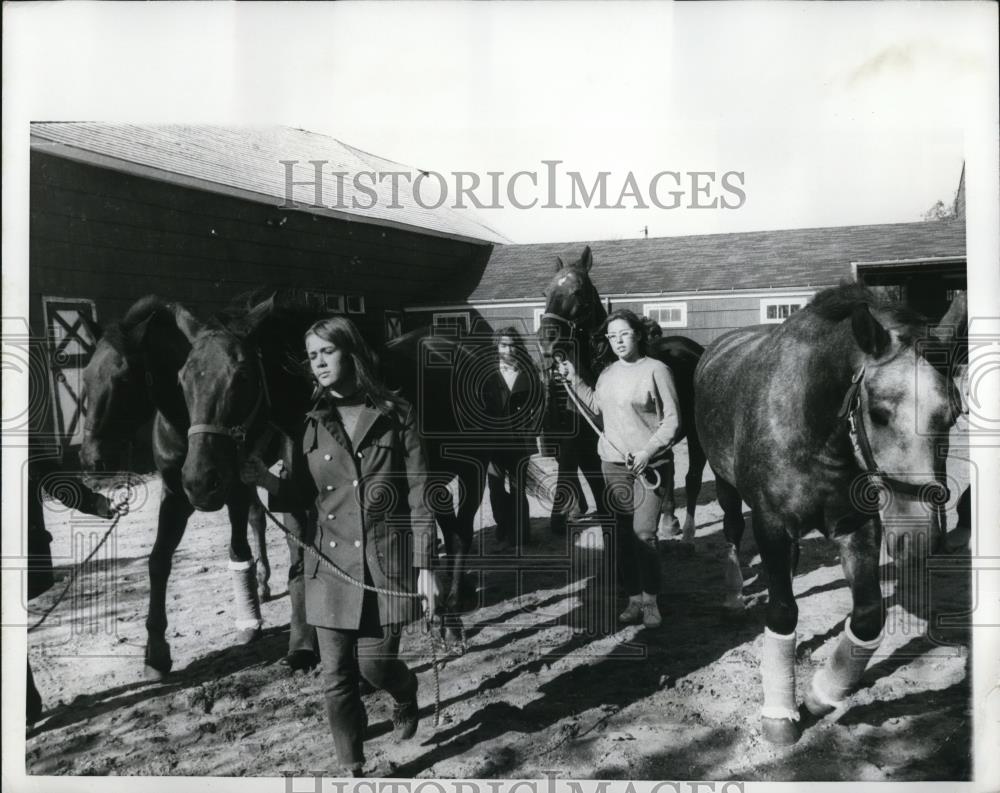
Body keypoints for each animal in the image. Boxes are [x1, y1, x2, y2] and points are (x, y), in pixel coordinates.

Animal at [78, 294, 278, 676]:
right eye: (85, 376)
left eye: (123, 378)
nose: (93, 459)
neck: (186, 422)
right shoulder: (174, 496)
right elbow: (158, 561)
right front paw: (156, 652)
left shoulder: (231, 491)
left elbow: (237, 549)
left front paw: (249, 623)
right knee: (260, 517)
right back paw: (263, 583)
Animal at [536, 243, 708, 540]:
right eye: (546, 293)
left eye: (577, 291)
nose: (547, 341)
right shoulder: (587, 447)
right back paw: (668, 518)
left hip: (695, 436)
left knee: (692, 478)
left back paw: (685, 531)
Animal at [692, 284, 956, 744]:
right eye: (879, 414)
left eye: (954, 416)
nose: (920, 538)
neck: (815, 431)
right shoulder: (771, 525)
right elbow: (782, 611)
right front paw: (780, 714)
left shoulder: (857, 526)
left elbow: (867, 618)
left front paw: (820, 696)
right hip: (726, 489)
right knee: (732, 532)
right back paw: (734, 596)